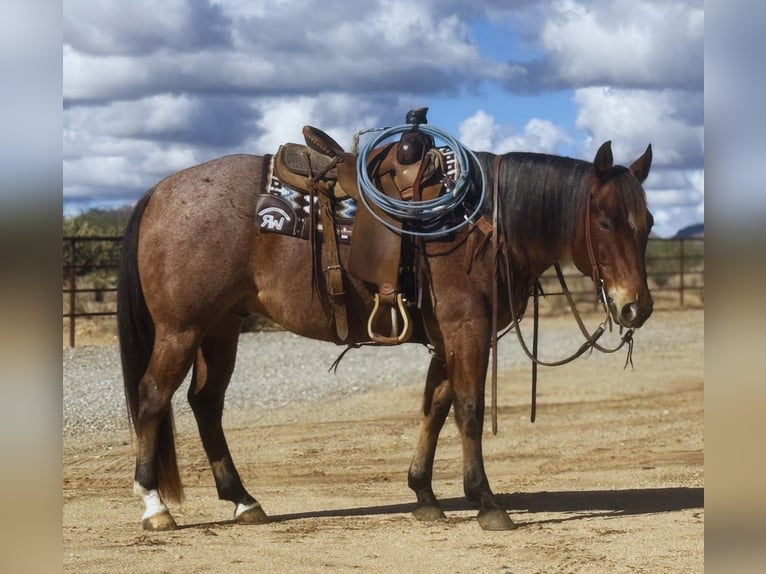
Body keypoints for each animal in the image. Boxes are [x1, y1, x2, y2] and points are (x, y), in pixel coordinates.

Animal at [117, 135, 654, 532]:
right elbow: (469, 409)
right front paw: (485, 501)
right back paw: (154, 505)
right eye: (604, 221)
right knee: (152, 397)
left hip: (221, 327)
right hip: (181, 329)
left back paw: (243, 500)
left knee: (205, 403)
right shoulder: (467, 328)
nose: (636, 307)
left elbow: (435, 407)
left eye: (646, 223)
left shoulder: (446, 336)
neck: (483, 225)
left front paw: (424, 494)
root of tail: (161, 191)